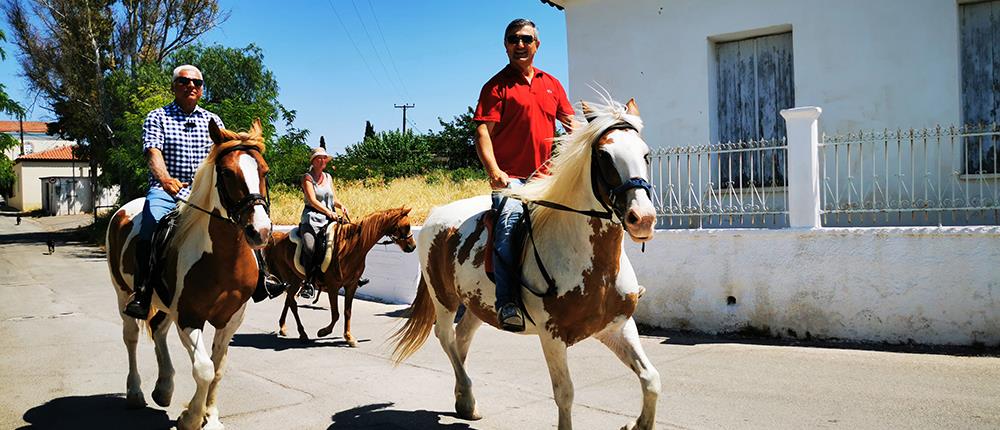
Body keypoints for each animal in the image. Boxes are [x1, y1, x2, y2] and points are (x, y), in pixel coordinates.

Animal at [108, 118, 274, 430]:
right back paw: (135, 392)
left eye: (264, 171)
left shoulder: (230, 320)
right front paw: (191, 418)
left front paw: (212, 416)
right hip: (123, 294)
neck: (222, 260)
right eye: (227, 172)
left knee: (158, 329)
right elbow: (204, 368)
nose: (260, 231)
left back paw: (163, 388)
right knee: (131, 338)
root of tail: (122, 211)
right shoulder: (188, 317)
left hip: (164, 305)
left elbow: (218, 368)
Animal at [264, 207, 416, 346]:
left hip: (295, 280)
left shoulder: (351, 285)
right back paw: (302, 333)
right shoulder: (333, 287)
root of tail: (279, 238)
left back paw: (283, 327)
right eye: (406, 226)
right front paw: (323, 332)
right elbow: (336, 313)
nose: (413, 247)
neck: (351, 247)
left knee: (289, 301)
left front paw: (349, 337)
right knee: (293, 303)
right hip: (293, 279)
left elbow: (347, 312)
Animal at [392, 98, 664, 430]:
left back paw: (463, 398)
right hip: (443, 299)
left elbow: (651, 379)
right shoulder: (553, 337)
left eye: (645, 153)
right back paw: (466, 396)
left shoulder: (617, 327)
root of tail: (435, 214)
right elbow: (565, 394)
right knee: (446, 338)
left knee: (462, 338)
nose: (643, 219)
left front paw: (638, 424)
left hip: (478, 305)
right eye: (604, 155)